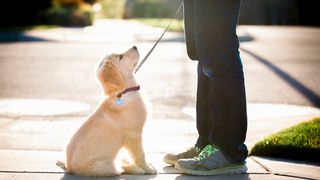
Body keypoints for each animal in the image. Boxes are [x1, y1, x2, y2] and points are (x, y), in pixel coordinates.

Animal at [58, 46, 158, 177]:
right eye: (120, 56)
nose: (135, 46)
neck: (122, 91)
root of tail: (69, 168)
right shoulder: (134, 134)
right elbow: (140, 155)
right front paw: (148, 169)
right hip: (104, 166)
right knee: (119, 169)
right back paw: (136, 169)